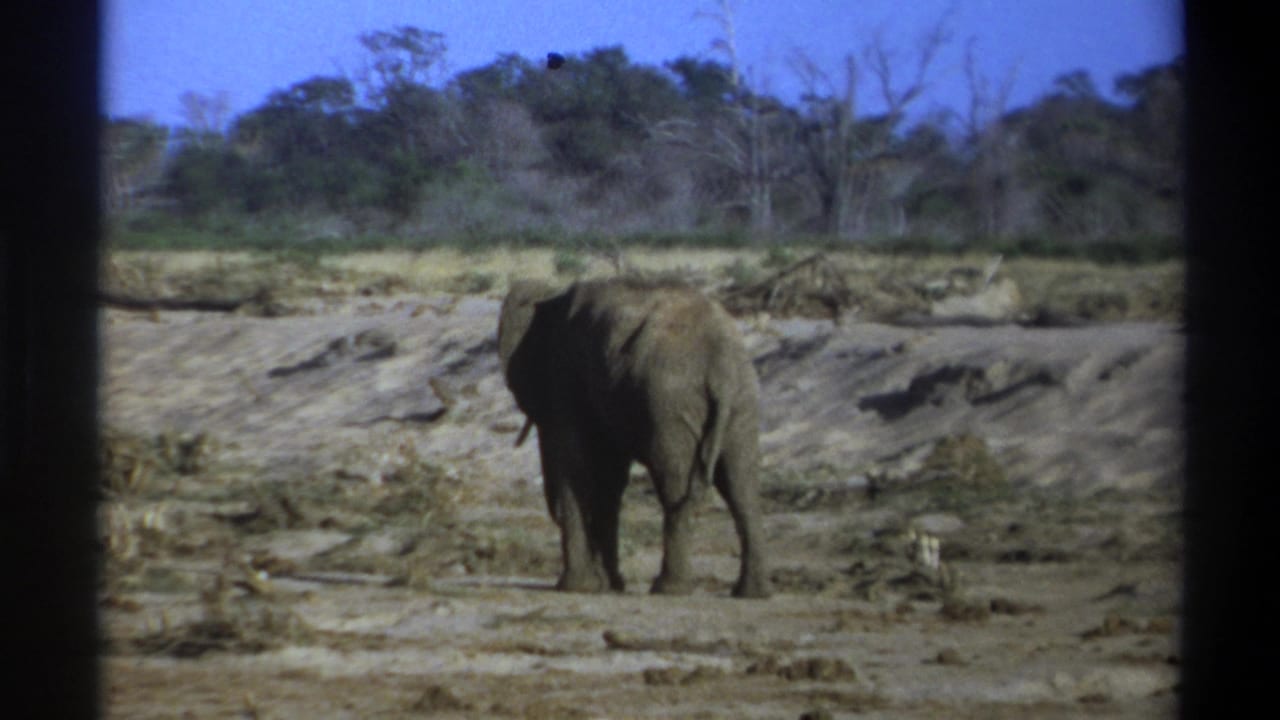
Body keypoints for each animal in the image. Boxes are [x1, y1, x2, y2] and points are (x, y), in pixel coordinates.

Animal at [498, 278, 771, 599]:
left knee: (674, 483)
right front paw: (609, 585)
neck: (550, 294)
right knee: (741, 483)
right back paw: (752, 592)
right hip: (742, 399)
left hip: (669, 402)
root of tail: (722, 364)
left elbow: (575, 466)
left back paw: (669, 588)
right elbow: (610, 477)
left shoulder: (564, 378)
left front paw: (578, 587)